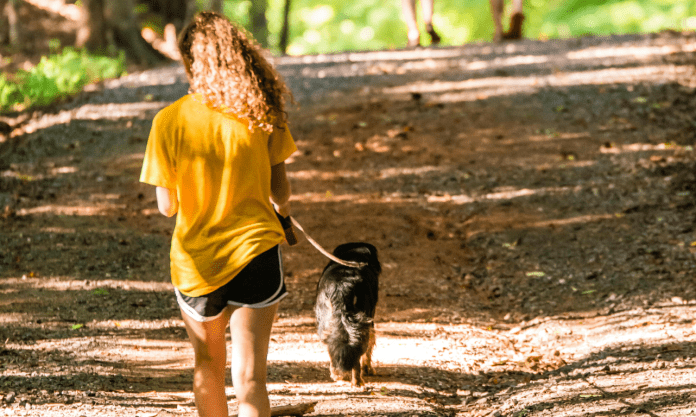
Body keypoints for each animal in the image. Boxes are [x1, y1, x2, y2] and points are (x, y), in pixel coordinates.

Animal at [316, 242, 380, 386]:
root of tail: (342, 286)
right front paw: (368, 368)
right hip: (362, 325)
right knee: (357, 351)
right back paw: (357, 381)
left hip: (327, 323)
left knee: (333, 346)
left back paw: (338, 375)